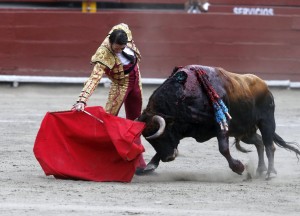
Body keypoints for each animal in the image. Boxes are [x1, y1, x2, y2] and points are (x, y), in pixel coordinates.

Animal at [139, 64, 300, 179]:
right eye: (151, 141)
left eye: (161, 136)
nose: (168, 158)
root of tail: (264, 84)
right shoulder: (183, 127)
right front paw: (150, 165)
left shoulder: (221, 125)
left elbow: (223, 148)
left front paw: (238, 167)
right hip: (245, 131)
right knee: (259, 142)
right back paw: (260, 170)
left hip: (266, 121)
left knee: (269, 145)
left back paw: (270, 173)